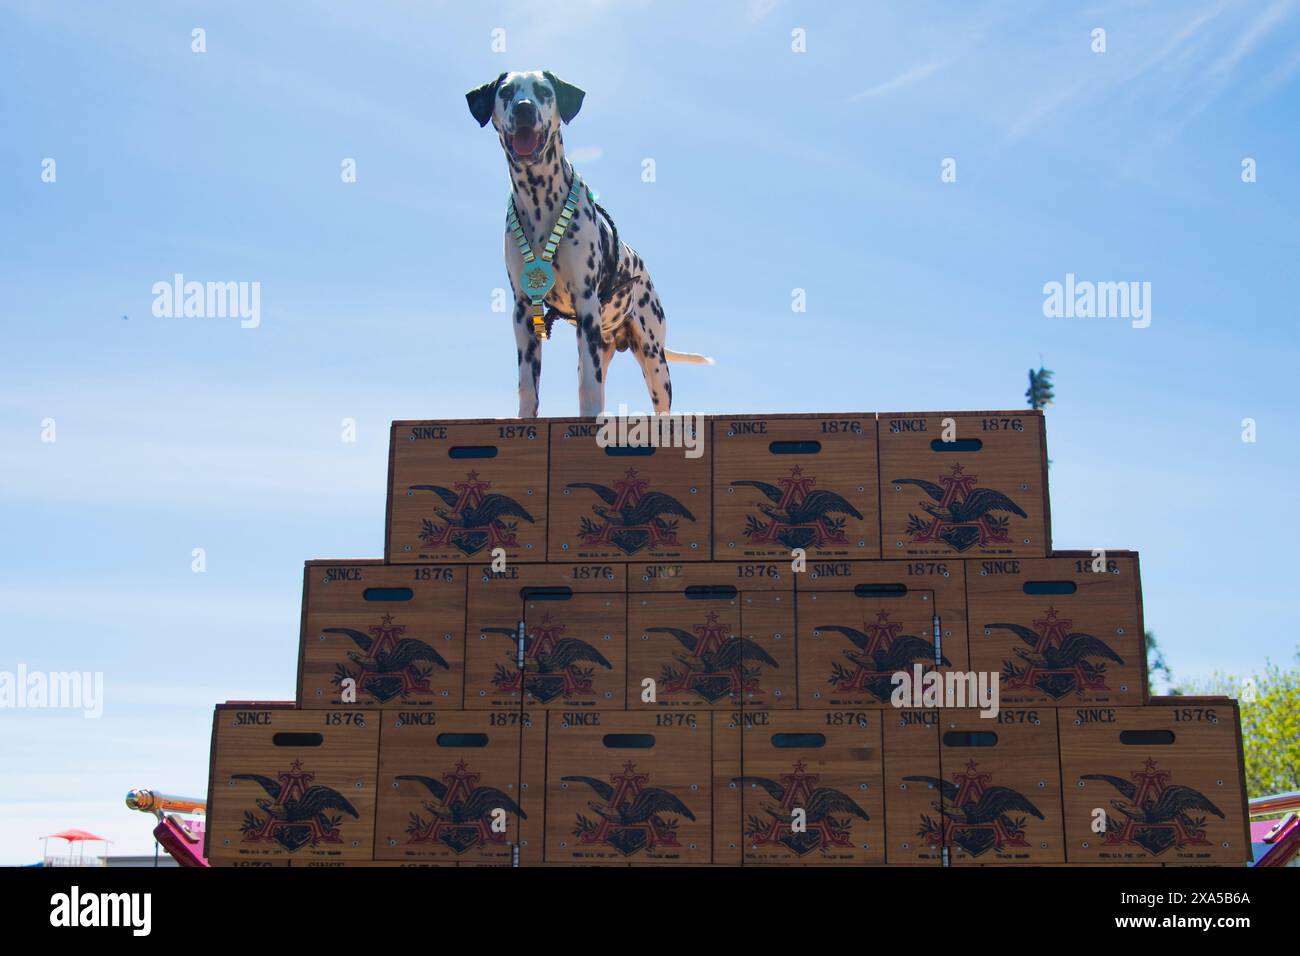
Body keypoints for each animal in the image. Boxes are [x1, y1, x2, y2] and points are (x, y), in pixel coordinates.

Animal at [467, 72, 712, 416]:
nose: (524, 108)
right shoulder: (524, 311)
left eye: (543, 91)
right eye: (507, 92)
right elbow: (528, 386)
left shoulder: (585, 302)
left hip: (653, 359)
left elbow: (588, 389)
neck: (539, 199)